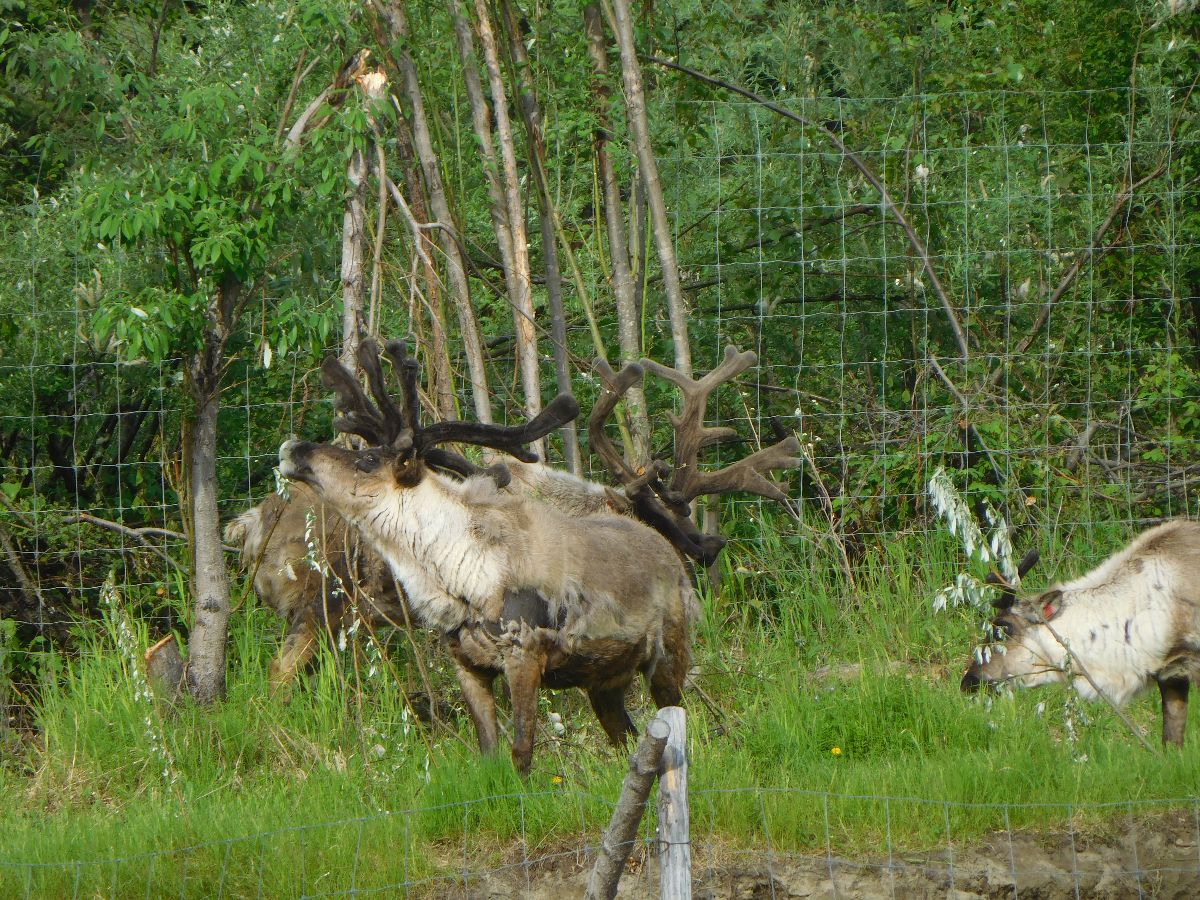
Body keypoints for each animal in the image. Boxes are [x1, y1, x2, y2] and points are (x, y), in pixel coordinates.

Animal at [276, 338, 699, 775]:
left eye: (368, 460)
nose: (294, 447)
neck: (456, 579)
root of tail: (671, 553)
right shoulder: (468, 664)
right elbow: (489, 754)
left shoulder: (524, 655)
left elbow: (521, 753)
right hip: (605, 679)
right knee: (625, 735)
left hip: (669, 651)